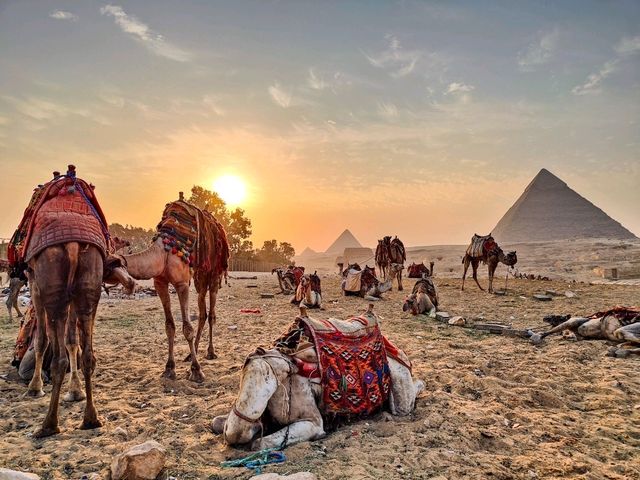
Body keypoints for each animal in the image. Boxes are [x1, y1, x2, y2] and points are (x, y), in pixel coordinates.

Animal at [117, 194, 230, 382]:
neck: (163, 251)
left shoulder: (181, 283)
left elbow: (187, 328)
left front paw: (196, 371)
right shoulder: (160, 283)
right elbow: (169, 326)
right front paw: (169, 368)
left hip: (214, 273)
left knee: (212, 313)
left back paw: (210, 352)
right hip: (200, 278)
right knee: (202, 311)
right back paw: (191, 354)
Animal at [214, 306, 424, 448]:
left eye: (268, 388)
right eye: (240, 378)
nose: (234, 432)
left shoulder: (313, 422)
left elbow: (259, 444)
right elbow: (215, 421)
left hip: (400, 391)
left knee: (406, 400)